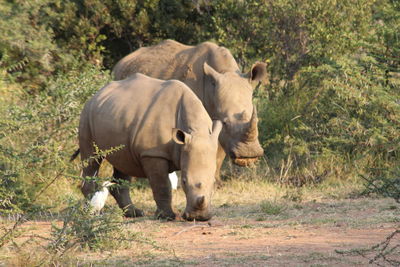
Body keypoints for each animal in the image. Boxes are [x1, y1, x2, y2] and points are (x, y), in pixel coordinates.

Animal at [77, 73, 222, 222]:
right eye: (184, 182)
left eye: (213, 183)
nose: (198, 218)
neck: (196, 130)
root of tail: (96, 94)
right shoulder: (153, 152)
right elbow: (162, 185)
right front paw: (167, 217)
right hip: (86, 115)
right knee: (92, 158)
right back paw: (92, 213)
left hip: (116, 114)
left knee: (123, 163)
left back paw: (134, 213)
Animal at [112, 39, 268, 178]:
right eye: (225, 123)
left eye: (258, 120)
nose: (249, 155)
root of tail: (121, 62)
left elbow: (218, 154)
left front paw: (216, 182)